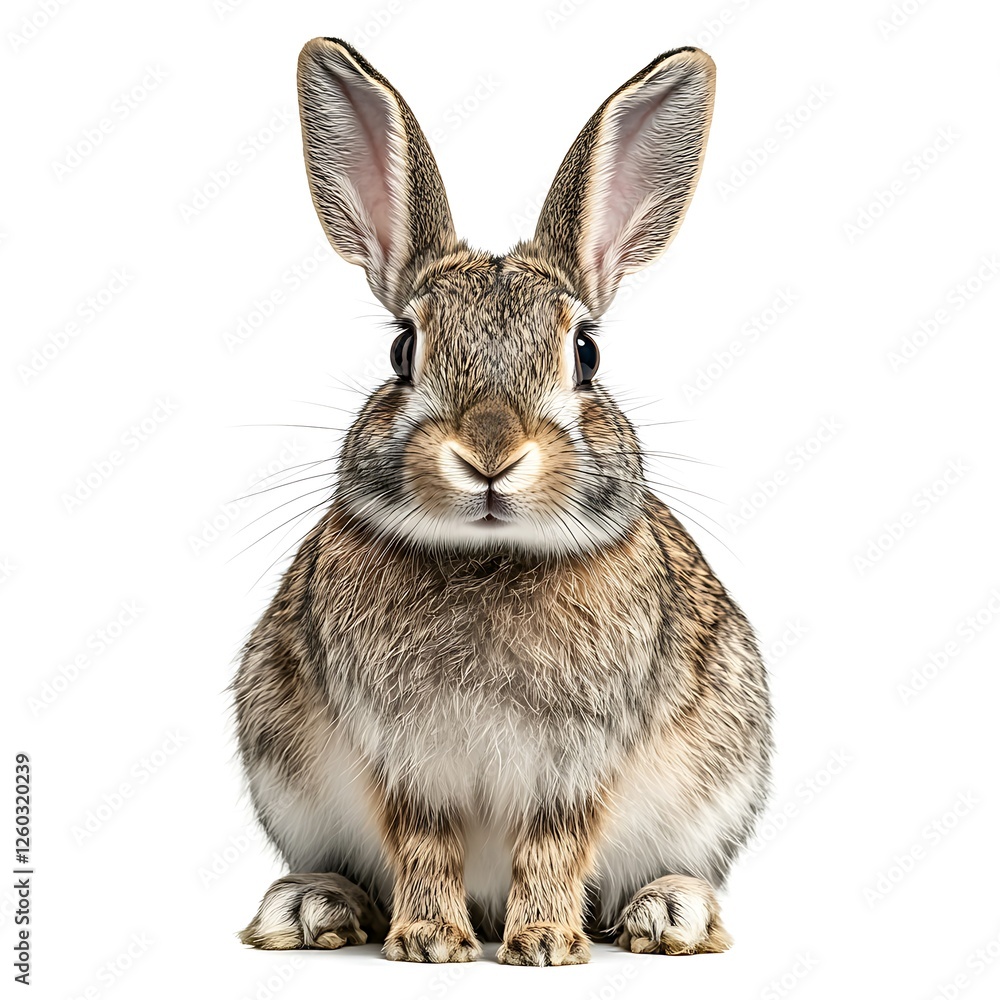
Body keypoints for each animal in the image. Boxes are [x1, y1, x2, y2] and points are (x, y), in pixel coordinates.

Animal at [234, 37, 772, 966]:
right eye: (402, 349)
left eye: (586, 353)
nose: (490, 453)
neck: (488, 557)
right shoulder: (408, 760)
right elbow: (423, 842)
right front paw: (429, 942)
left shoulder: (578, 763)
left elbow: (555, 845)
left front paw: (546, 944)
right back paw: (312, 907)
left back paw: (669, 913)